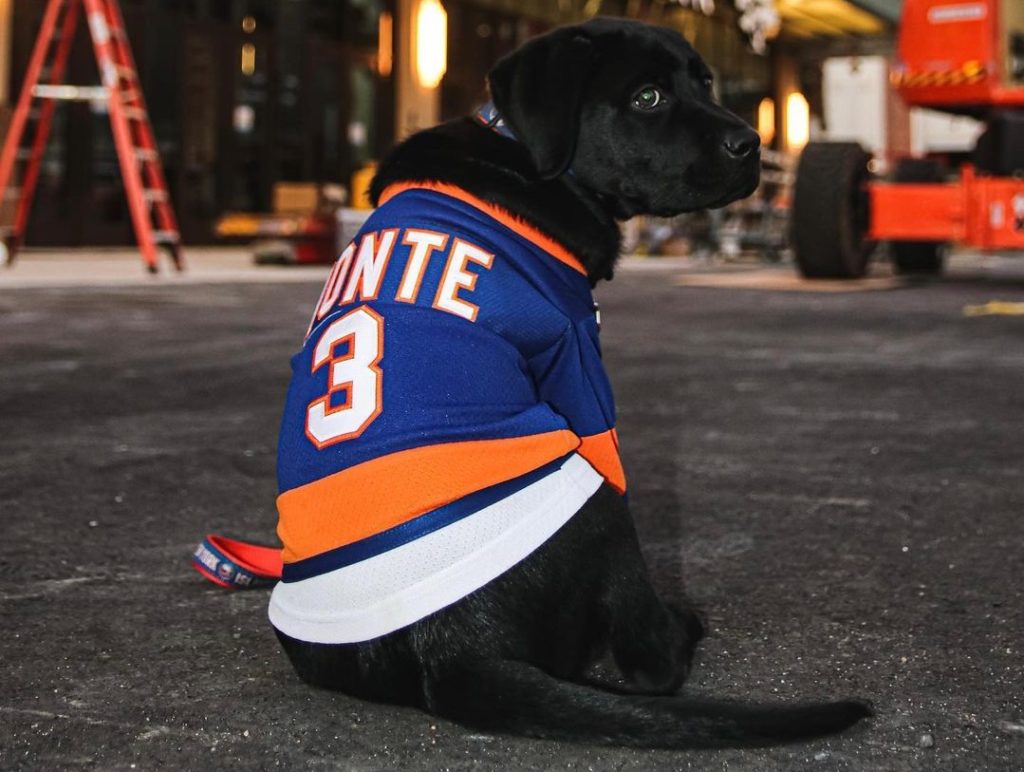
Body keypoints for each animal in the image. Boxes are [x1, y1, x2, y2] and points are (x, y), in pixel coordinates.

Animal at [274, 16, 872, 745]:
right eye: (646, 98)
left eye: (705, 82)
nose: (751, 143)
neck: (521, 153)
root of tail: (452, 652)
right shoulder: (579, 361)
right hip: (591, 495)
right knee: (650, 660)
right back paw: (679, 632)